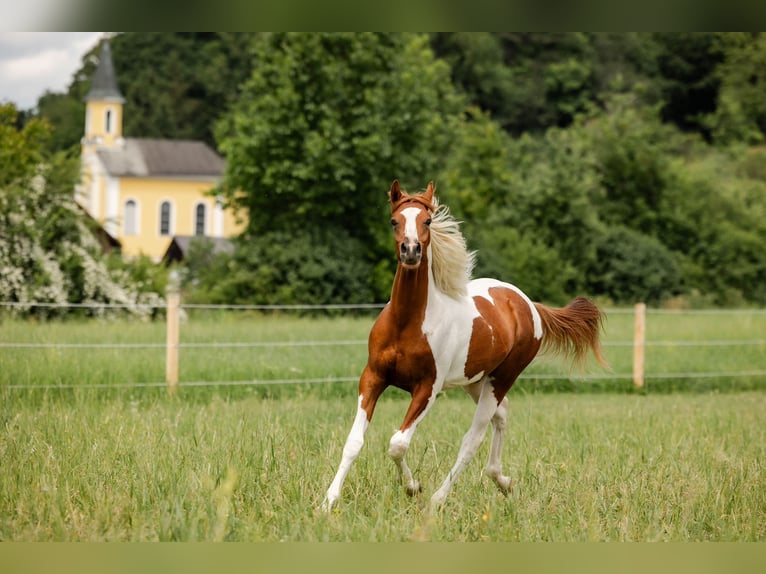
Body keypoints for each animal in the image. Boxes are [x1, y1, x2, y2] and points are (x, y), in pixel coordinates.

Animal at [320, 181, 608, 512]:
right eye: (394, 221)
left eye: (427, 221)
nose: (411, 251)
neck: (407, 323)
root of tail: (527, 304)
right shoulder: (373, 377)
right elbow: (354, 442)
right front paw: (328, 501)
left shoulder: (427, 389)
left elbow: (398, 443)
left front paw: (413, 488)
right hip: (476, 380)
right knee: (501, 415)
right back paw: (503, 481)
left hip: (502, 378)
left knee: (472, 440)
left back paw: (437, 499)